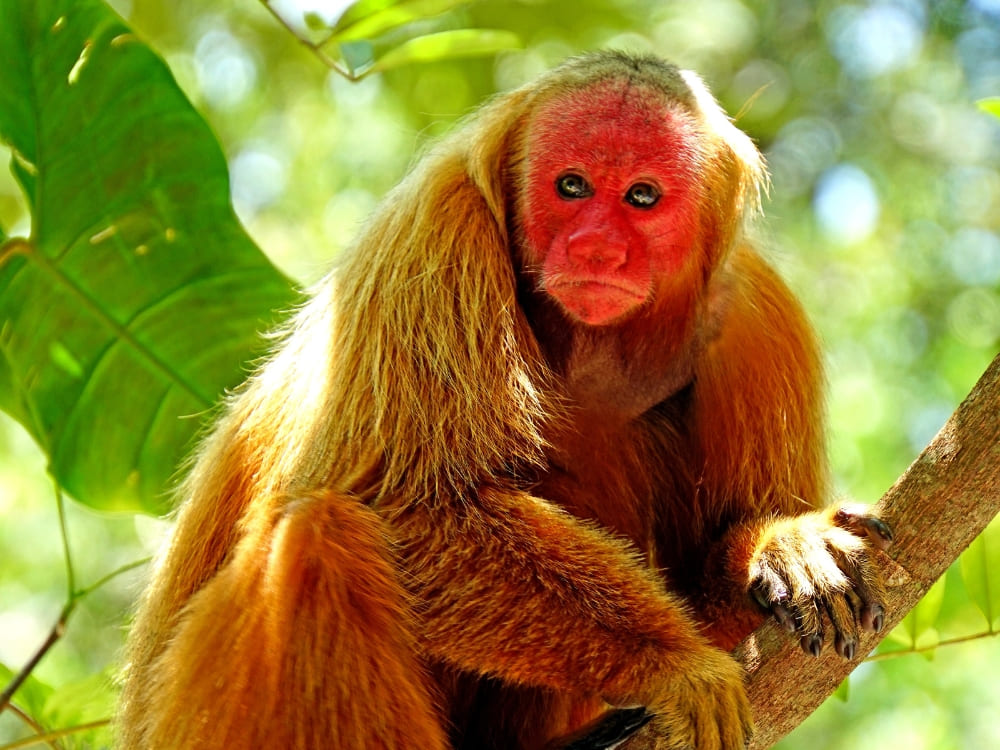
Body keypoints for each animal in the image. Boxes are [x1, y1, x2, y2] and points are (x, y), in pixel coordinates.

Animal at [117, 51, 892, 750]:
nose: (595, 248)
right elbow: (412, 502)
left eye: (641, 196)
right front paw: (672, 666)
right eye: (572, 186)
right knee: (319, 535)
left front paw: (778, 546)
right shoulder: (436, 233)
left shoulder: (759, 317)